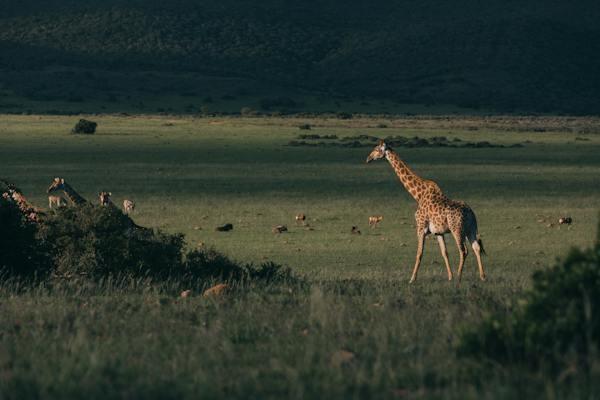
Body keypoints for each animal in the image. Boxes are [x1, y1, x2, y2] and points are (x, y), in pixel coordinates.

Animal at [366, 139, 488, 282]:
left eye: (376, 149)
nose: (368, 158)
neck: (418, 195)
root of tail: (470, 213)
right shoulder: (438, 232)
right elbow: (444, 253)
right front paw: (450, 277)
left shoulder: (420, 227)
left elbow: (419, 253)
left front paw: (412, 279)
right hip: (471, 229)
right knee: (476, 247)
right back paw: (482, 276)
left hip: (457, 229)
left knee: (463, 250)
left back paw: (459, 277)